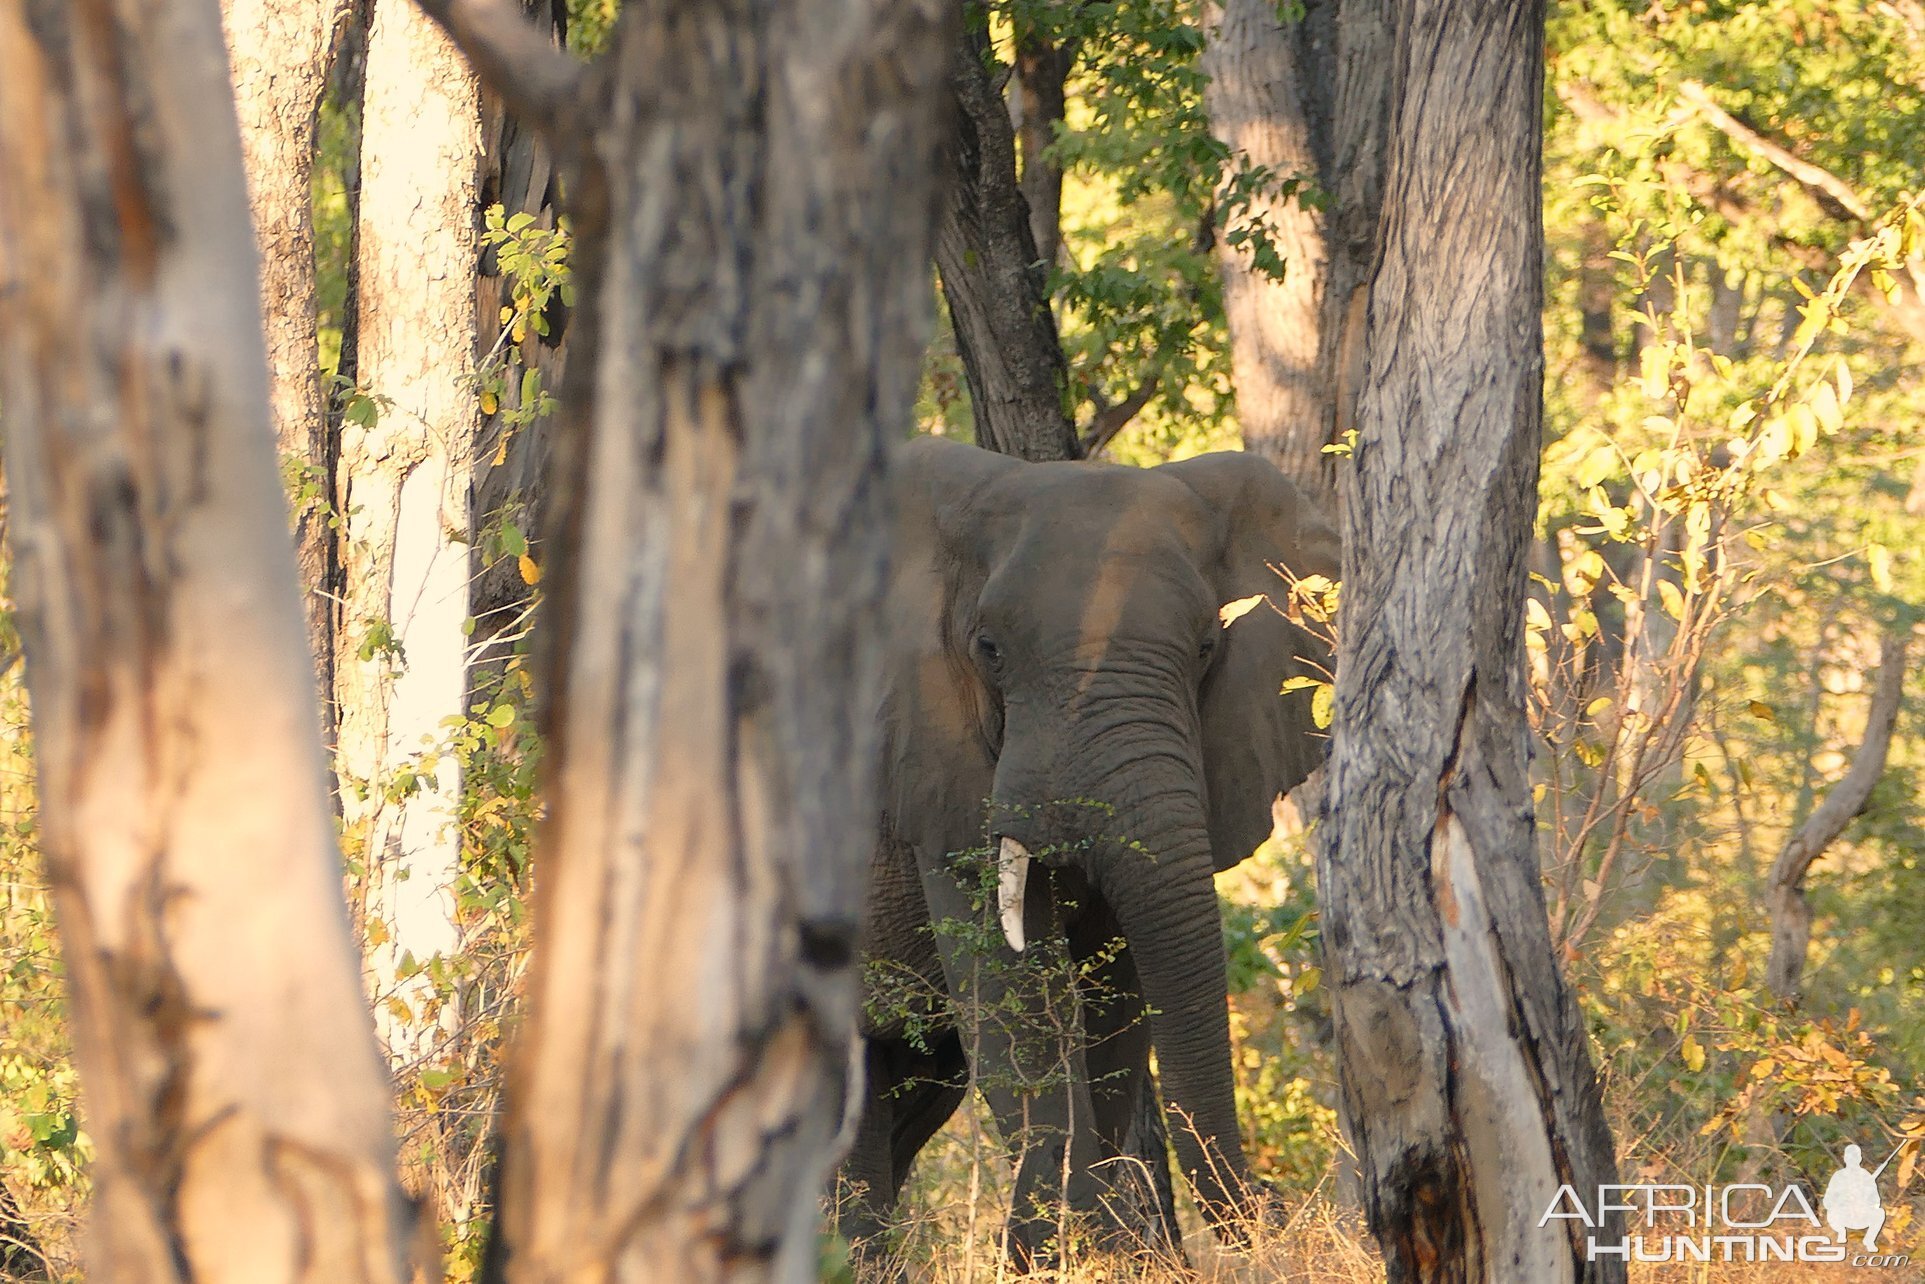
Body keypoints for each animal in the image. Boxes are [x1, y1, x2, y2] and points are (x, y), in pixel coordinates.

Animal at [843, 436, 1339, 1270]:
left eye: (1206, 647)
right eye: (988, 650)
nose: (1278, 1213)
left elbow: (1115, 1000)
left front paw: (1109, 1252)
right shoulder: (934, 768)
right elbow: (1017, 1001)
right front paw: (1072, 1251)